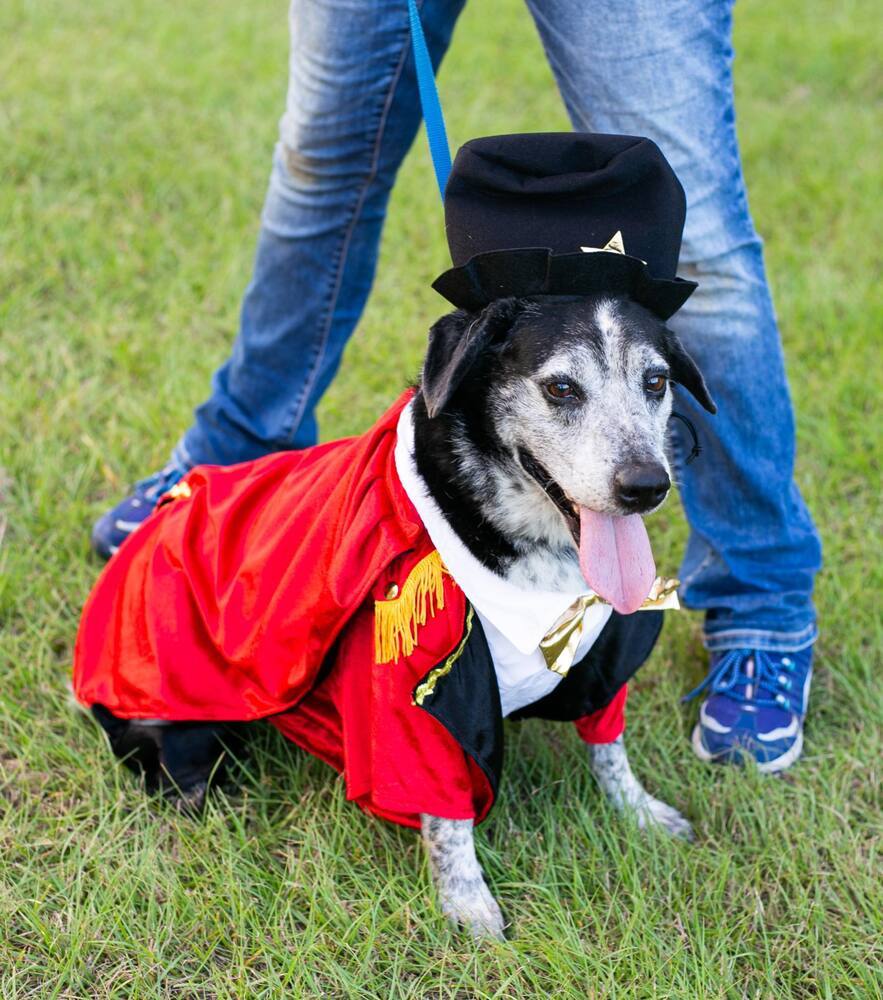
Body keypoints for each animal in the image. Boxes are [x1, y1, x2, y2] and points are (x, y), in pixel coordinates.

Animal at [72, 133, 716, 936]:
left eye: (656, 381)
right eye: (560, 388)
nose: (646, 485)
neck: (533, 556)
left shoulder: (603, 660)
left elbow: (609, 750)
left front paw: (641, 815)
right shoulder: (416, 701)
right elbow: (449, 820)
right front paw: (470, 910)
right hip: (181, 735)